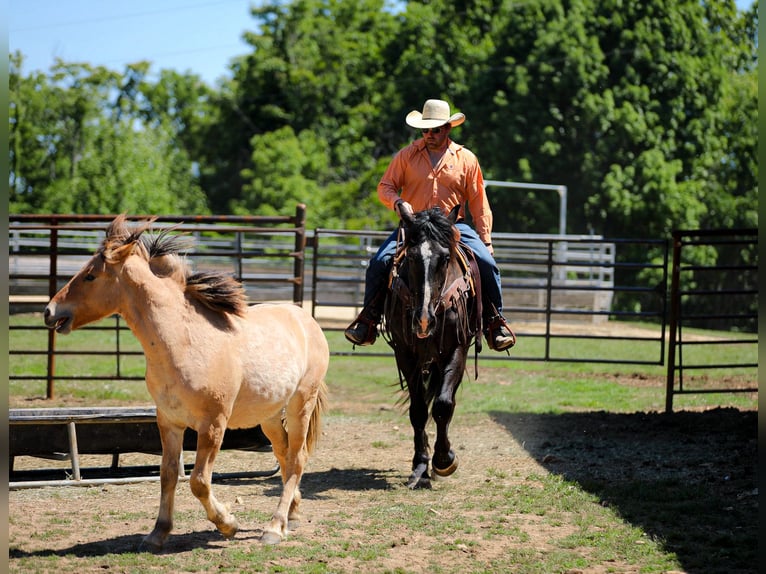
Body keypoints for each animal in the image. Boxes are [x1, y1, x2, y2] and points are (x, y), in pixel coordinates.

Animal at [43, 215, 329, 551]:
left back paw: (274, 527)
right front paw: (158, 533)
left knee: (297, 459)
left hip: (300, 405)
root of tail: (306, 319)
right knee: (284, 456)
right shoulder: (169, 420)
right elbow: (168, 475)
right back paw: (291, 513)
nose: (49, 311)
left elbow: (198, 481)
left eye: (90, 276)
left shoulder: (213, 424)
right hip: (269, 415)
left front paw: (228, 523)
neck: (184, 342)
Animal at [382, 206, 481, 489]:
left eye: (445, 257)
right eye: (411, 256)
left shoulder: (457, 348)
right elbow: (418, 410)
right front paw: (420, 465)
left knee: (445, 400)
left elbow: (443, 405)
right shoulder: (404, 352)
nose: (424, 320)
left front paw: (444, 460)